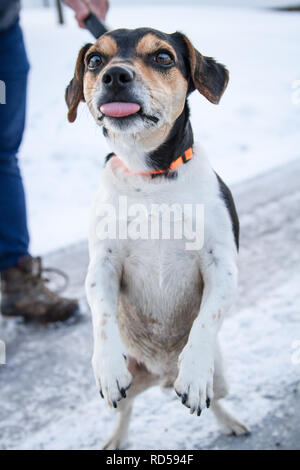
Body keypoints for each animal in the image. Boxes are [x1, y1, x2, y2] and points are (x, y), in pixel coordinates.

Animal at [65, 27, 248, 450]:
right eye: (94, 60)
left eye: (163, 57)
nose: (115, 76)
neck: (150, 178)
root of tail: (161, 374)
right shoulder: (102, 264)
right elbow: (102, 318)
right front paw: (107, 364)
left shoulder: (221, 265)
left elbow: (205, 320)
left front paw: (194, 374)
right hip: (126, 389)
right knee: (125, 408)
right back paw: (115, 438)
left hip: (222, 376)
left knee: (216, 399)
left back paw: (227, 420)